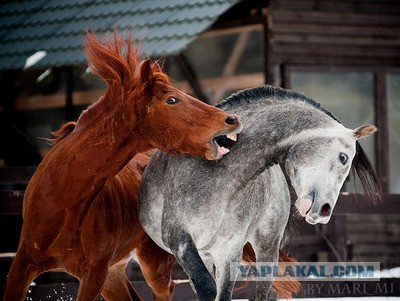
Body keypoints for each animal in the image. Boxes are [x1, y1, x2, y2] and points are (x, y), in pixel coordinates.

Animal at [3, 31, 241, 300]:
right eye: (171, 99)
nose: (232, 119)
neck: (63, 197)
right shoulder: (23, 265)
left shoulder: (94, 274)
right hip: (114, 275)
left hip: (152, 262)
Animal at [139, 85, 380, 300]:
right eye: (343, 157)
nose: (324, 210)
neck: (220, 176)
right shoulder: (180, 239)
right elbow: (207, 287)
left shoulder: (229, 251)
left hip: (266, 246)